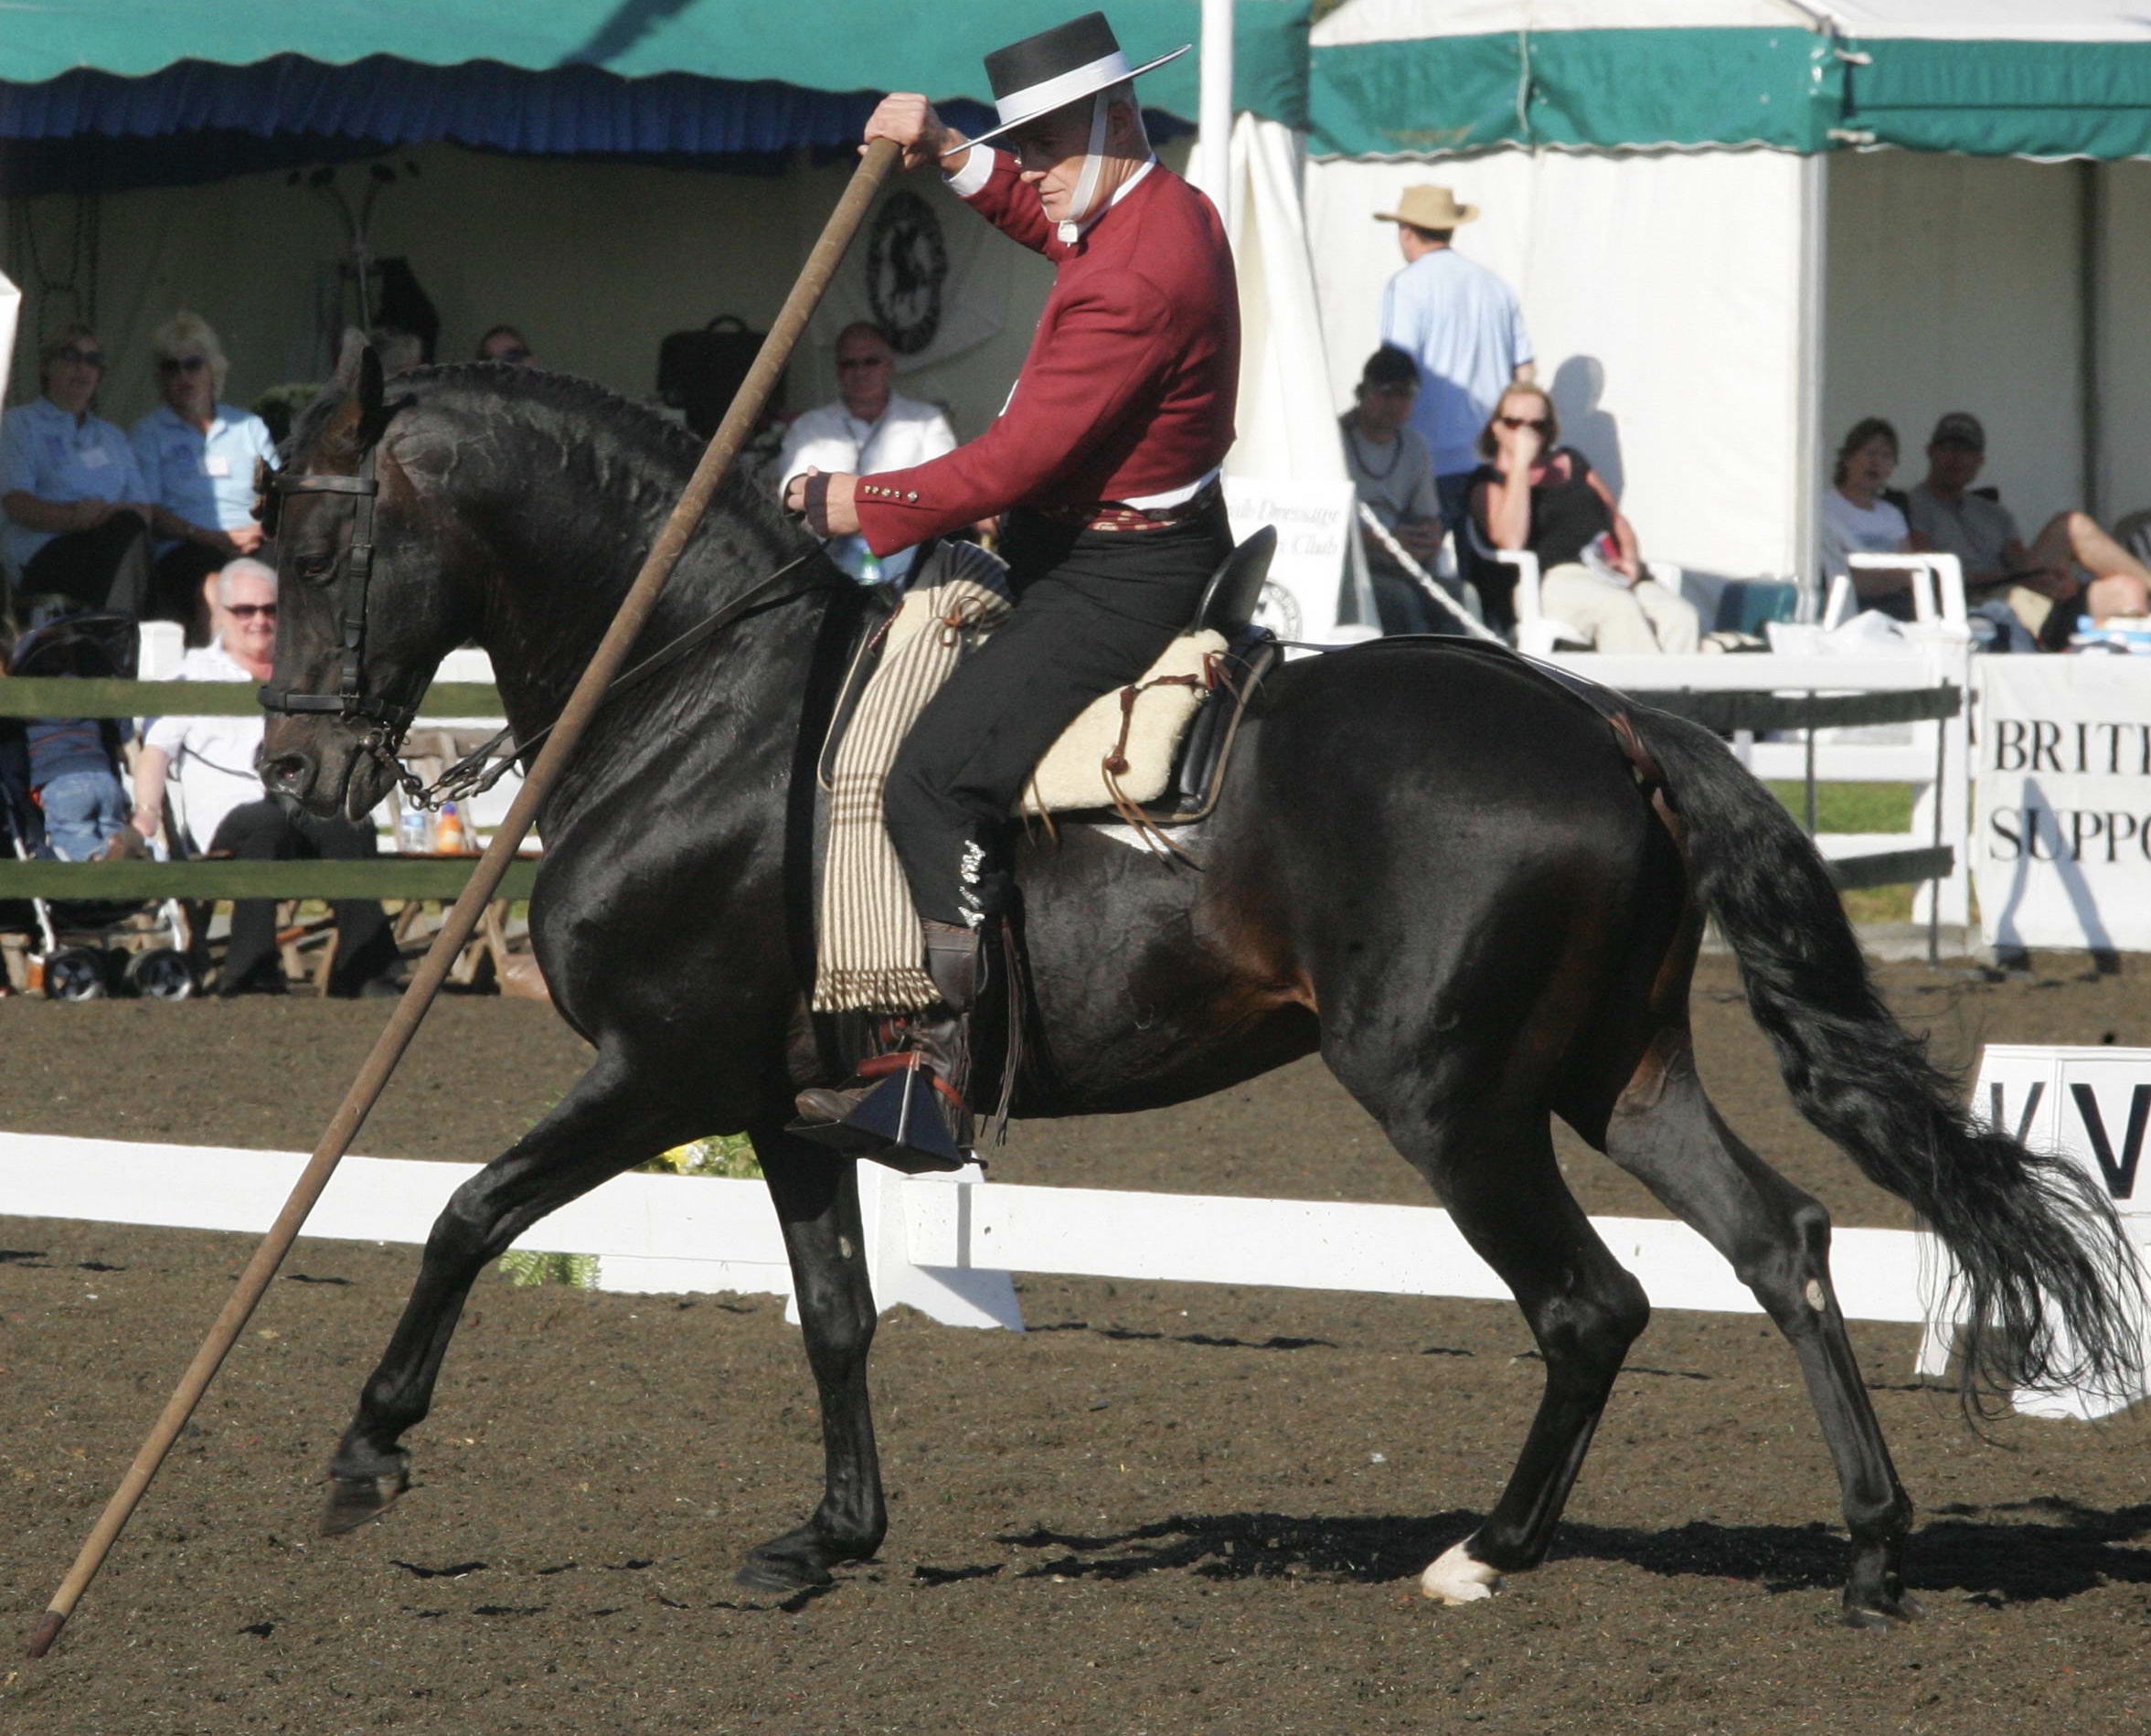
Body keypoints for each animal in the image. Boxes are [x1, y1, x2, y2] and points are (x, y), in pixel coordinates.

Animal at [260, 352, 2142, 1625]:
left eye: (322, 549)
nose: (293, 767)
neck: (706, 702)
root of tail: (1601, 717)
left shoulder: (660, 1070)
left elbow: (465, 1211)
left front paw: (366, 1449)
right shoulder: (780, 1104)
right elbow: (837, 1316)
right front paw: (828, 1538)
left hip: (1452, 1098)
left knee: (1590, 1302)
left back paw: (1484, 1553)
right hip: (1613, 1073)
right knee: (1778, 1244)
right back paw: (1869, 1548)